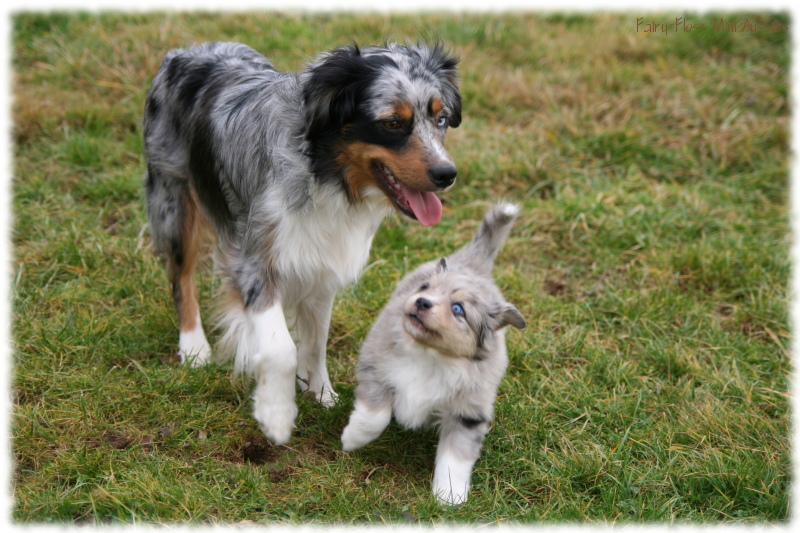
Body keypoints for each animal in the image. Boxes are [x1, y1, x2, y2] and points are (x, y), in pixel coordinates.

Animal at [141, 40, 460, 444]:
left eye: (441, 119)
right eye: (391, 123)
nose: (448, 174)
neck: (325, 176)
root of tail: (187, 50)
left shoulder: (322, 264)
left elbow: (315, 341)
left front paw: (321, 392)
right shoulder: (255, 261)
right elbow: (281, 347)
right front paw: (276, 415)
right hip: (174, 200)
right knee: (181, 278)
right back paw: (194, 346)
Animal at [342, 201, 524, 502]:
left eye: (458, 309)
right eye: (426, 287)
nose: (422, 302)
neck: (430, 355)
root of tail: (473, 264)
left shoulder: (469, 412)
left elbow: (455, 456)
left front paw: (449, 497)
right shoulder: (375, 368)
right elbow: (375, 416)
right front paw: (351, 440)